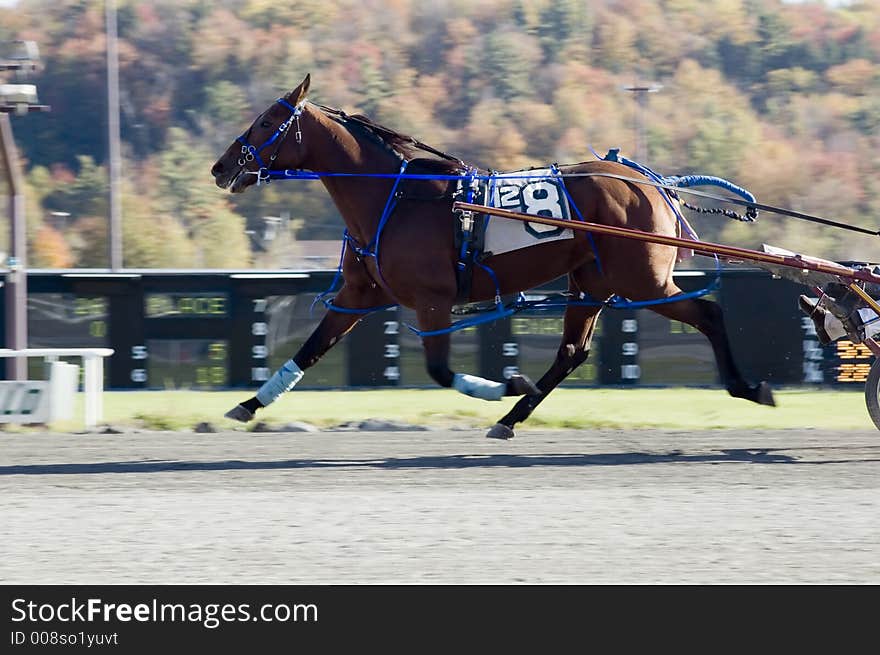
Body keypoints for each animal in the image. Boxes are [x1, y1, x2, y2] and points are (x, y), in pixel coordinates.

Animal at [211, 74, 768, 438]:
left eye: (267, 121)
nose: (221, 167)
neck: (395, 196)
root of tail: (652, 182)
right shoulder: (359, 292)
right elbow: (308, 351)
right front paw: (248, 404)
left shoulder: (433, 299)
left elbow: (439, 370)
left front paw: (504, 383)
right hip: (593, 281)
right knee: (572, 352)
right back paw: (510, 419)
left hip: (640, 280)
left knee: (707, 313)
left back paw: (748, 386)